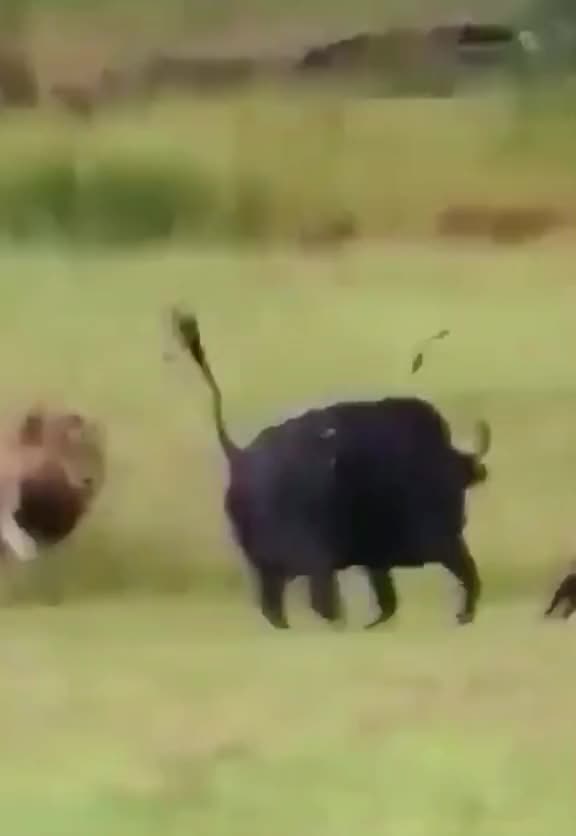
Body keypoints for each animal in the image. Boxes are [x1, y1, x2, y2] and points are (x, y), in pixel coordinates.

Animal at [171, 310, 491, 629]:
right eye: (452, 484)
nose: (459, 519)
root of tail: (239, 456)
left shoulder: (379, 560)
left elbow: (389, 599)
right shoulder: (436, 544)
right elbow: (462, 576)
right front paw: (463, 615)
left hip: (282, 567)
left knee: (278, 604)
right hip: (314, 561)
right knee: (308, 601)